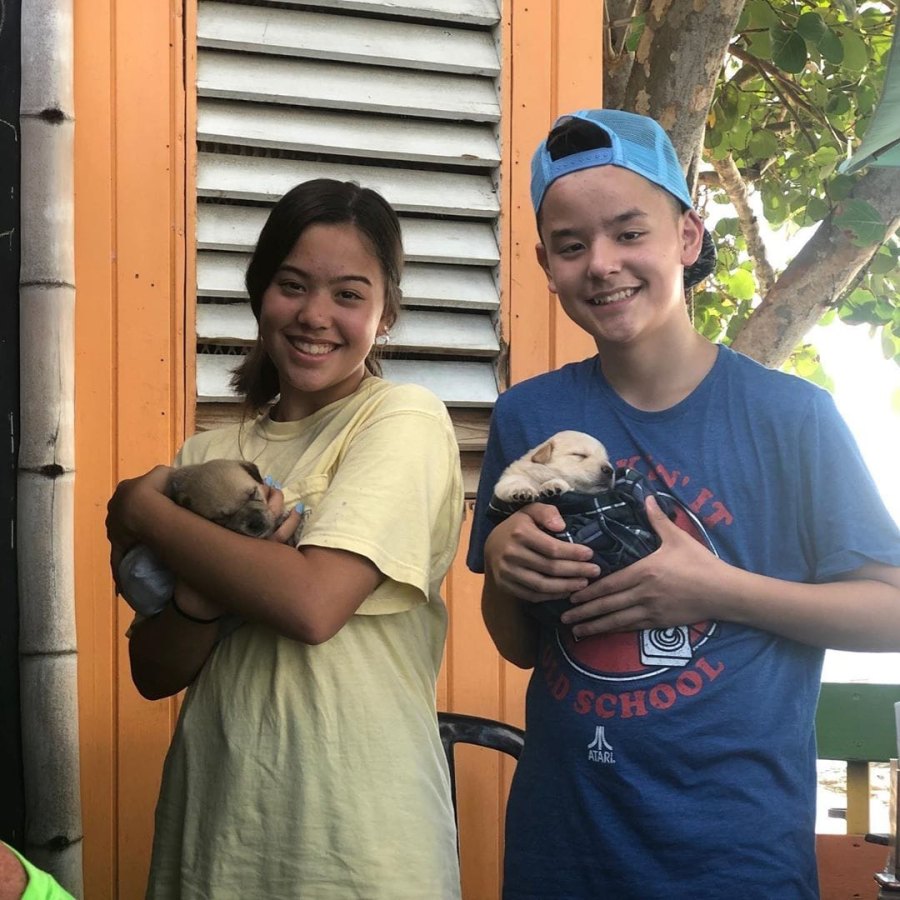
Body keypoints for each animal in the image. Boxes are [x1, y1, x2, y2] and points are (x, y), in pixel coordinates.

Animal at [492, 430, 620, 502]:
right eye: (580, 455)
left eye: (607, 460)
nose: (610, 470)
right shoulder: (511, 476)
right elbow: (514, 481)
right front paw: (522, 490)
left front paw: (552, 485)